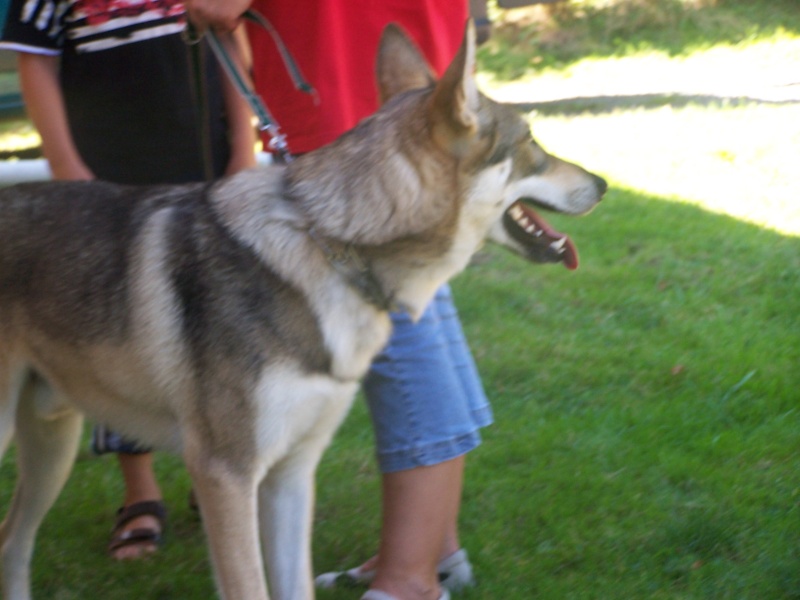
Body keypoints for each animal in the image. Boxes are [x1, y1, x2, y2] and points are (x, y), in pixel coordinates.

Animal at [0, 21, 604, 600]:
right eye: (532, 141)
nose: (600, 183)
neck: (329, 248)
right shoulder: (225, 475)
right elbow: (251, 588)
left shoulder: (291, 474)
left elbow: (295, 585)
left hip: (53, 445)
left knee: (12, 542)